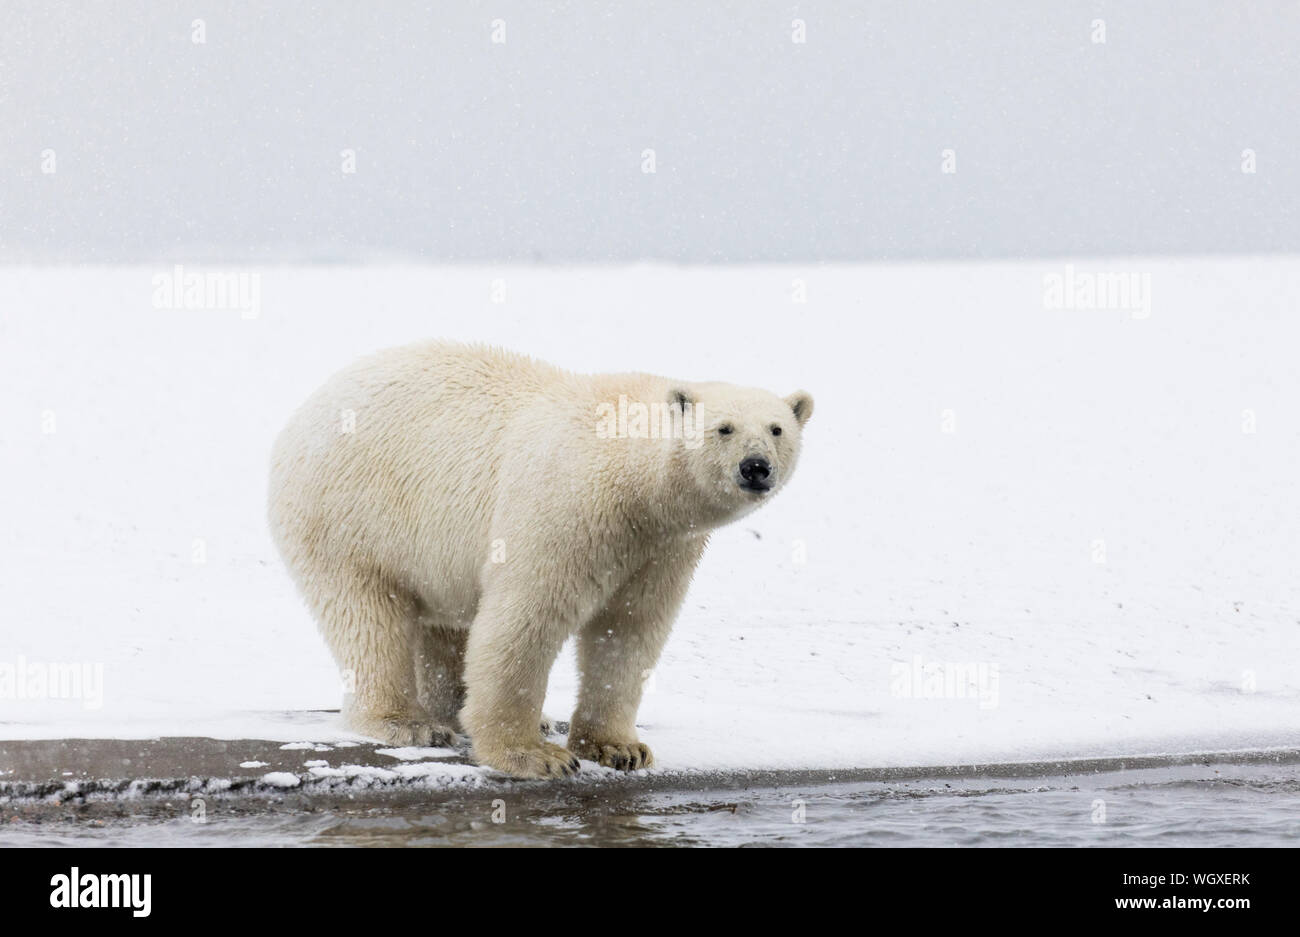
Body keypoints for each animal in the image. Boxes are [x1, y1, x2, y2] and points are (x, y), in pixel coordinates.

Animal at [266, 340, 811, 779]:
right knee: (368, 617)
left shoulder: (662, 546)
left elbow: (629, 629)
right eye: (724, 428)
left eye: (777, 429)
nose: (756, 467)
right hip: (350, 513)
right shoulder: (566, 509)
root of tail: (307, 408)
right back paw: (408, 723)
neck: (633, 482)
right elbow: (527, 620)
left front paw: (620, 749)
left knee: (443, 627)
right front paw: (534, 756)